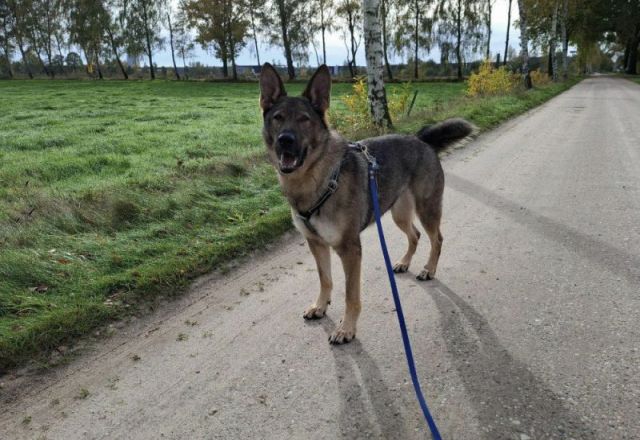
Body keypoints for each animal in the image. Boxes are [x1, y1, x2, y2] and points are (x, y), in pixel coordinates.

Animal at [259, 63, 475, 344]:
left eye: (304, 119)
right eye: (278, 117)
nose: (285, 139)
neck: (317, 178)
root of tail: (421, 139)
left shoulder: (350, 249)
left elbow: (351, 295)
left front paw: (347, 328)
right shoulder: (316, 244)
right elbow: (325, 280)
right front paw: (320, 306)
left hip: (426, 209)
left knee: (436, 239)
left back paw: (428, 269)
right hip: (398, 213)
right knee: (415, 235)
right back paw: (404, 262)